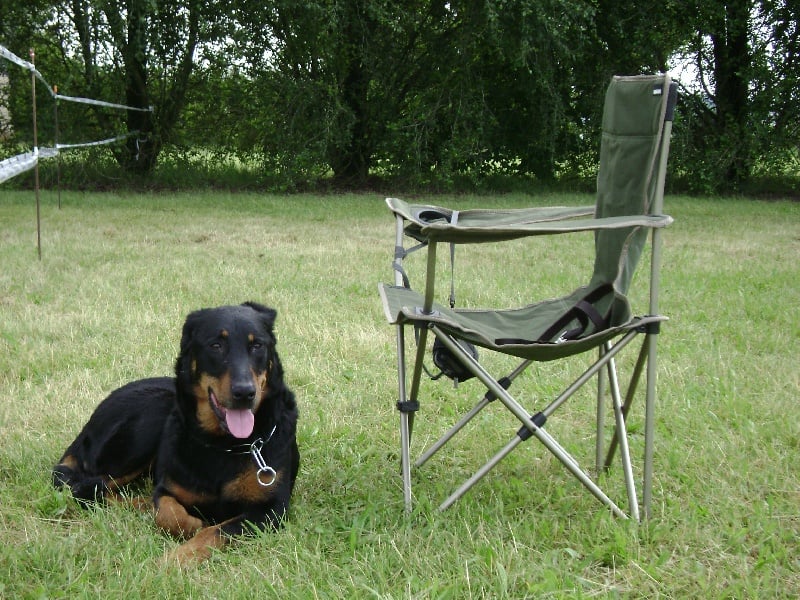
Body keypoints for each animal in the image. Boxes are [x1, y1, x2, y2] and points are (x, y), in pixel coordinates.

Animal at [51, 302, 300, 564]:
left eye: (257, 345)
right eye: (216, 345)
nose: (245, 393)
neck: (226, 444)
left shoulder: (271, 510)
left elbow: (217, 530)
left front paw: (176, 559)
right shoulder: (168, 489)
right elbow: (168, 512)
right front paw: (189, 528)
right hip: (152, 415)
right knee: (86, 488)